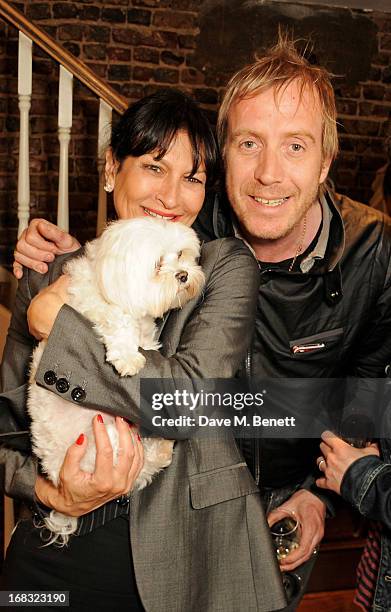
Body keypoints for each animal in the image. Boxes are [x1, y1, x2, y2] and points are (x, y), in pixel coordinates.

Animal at [27, 218, 205, 544]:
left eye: (180, 255)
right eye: (158, 264)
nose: (184, 275)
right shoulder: (96, 305)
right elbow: (118, 320)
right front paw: (128, 356)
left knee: (146, 467)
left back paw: (160, 447)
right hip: (99, 444)